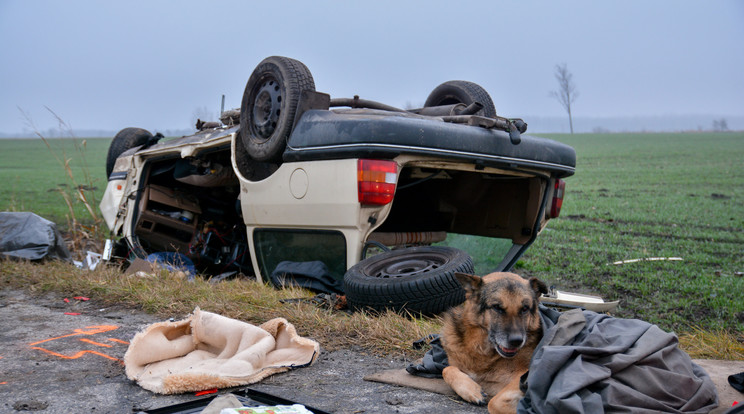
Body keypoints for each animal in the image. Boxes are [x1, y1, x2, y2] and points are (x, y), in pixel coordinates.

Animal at [442, 272, 548, 414]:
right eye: (497, 307)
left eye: (525, 308)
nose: (517, 341)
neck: (482, 350)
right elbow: (446, 369)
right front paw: (472, 390)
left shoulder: (526, 374)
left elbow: (494, 403)